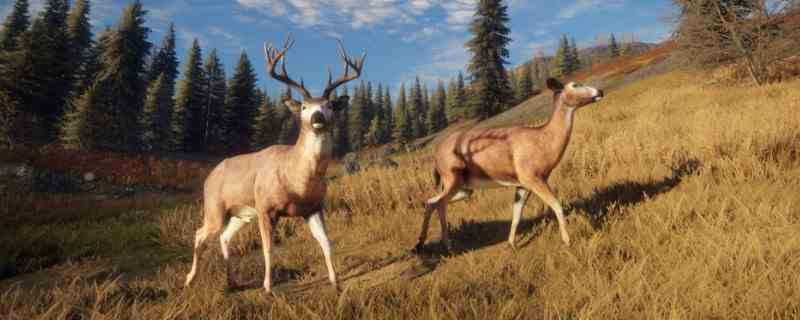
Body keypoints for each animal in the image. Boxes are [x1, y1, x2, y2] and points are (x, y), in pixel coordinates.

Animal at [184, 37, 366, 296]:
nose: (317, 117)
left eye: (330, 105)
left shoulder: (314, 208)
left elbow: (326, 243)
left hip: (240, 214)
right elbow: (268, 249)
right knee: (199, 234)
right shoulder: (266, 208)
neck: (298, 181)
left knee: (224, 237)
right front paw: (268, 288)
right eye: (304, 107)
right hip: (215, 208)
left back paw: (231, 282)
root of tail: (210, 176)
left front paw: (336, 283)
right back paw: (189, 280)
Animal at [416, 77, 604, 252]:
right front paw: (567, 241)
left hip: (464, 187)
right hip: (452, 176)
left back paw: (420, 244)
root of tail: (436, 156)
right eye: (575, 85)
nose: (600, 91)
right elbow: (557, 205)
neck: (544, 141)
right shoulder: (532, 177)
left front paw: (511, 244)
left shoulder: (522, 184)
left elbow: (517, 214)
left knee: (431, 201)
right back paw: (447, 245)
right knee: (440, 203)